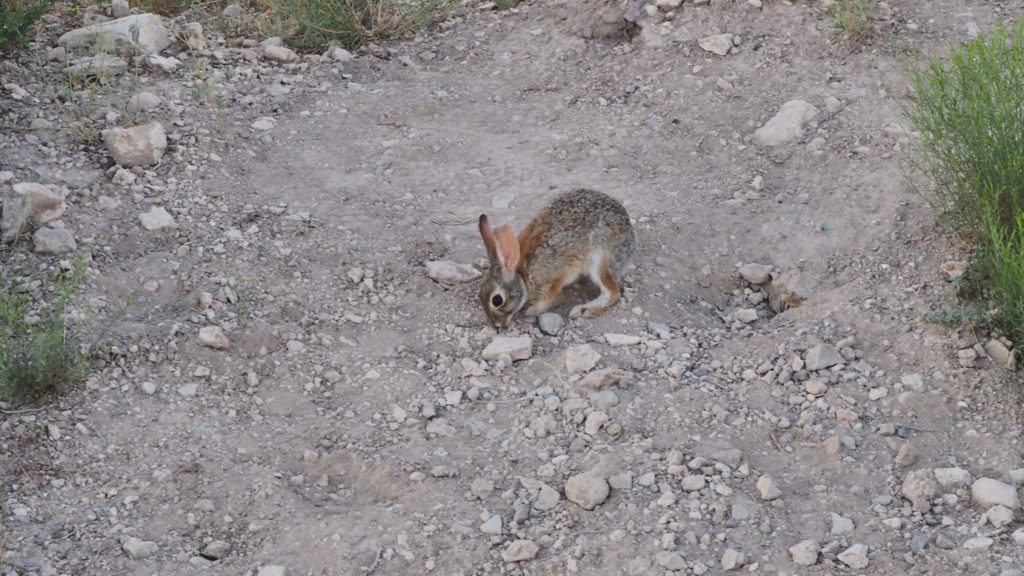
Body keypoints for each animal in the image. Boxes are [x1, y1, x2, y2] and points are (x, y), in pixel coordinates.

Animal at [477, 186, 634, 325]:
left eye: (497, 300)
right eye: (479, 295)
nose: (496, 326)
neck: (522, 274)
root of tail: (630, 232)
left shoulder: (553, 278)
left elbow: (550, 296)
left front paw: (533, 310)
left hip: (600, 258)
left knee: (613, 293)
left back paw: (583, 310)